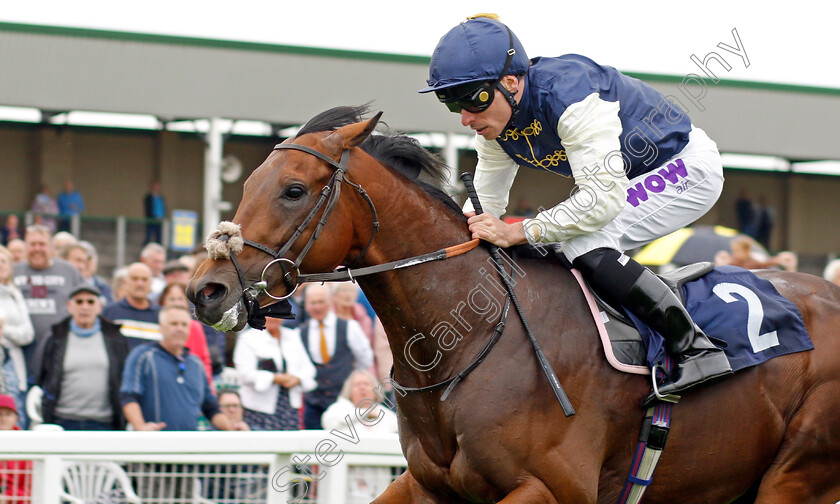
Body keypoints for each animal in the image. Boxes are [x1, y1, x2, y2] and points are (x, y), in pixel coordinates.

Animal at [189, 106, 840, 504]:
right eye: (245, 185)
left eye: (294, 190)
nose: (204, 289)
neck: (470, 338)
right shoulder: (429, 485)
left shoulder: (553, 488)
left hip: (797, 474)